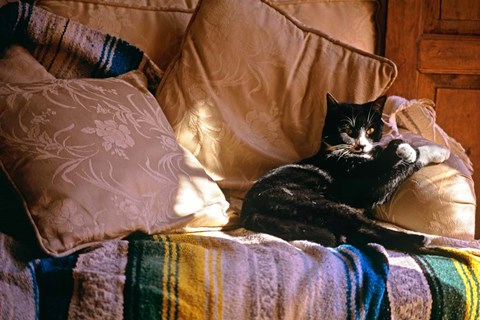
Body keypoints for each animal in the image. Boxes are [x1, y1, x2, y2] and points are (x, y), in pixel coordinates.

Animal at [240, 92, 450, 250]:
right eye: (348, 130)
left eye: (371, 130)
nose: (361, 145)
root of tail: (248, 211)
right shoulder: (367, 188)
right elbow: (404, 160)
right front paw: (425, 150)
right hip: (316, 203)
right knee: (362, 227)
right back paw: (419, 240)